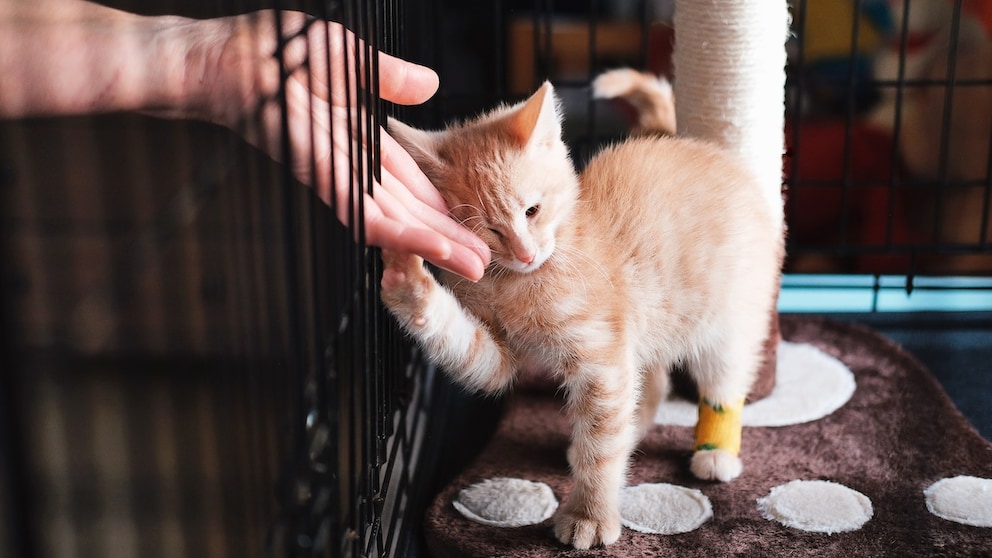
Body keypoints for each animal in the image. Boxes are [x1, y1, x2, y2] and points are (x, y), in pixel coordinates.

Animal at [380, 81, 784, 548]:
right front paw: (405, 276)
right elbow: (469, 349)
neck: (520, 281)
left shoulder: (601, 359)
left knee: (723, 380)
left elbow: (601, 450)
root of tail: (694, 144)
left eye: (532, 211)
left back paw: (716, 452)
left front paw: (589, 515)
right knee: (652, 383)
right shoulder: (502, 356)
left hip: (729, 317)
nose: (525, 253)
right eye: (488, 229)